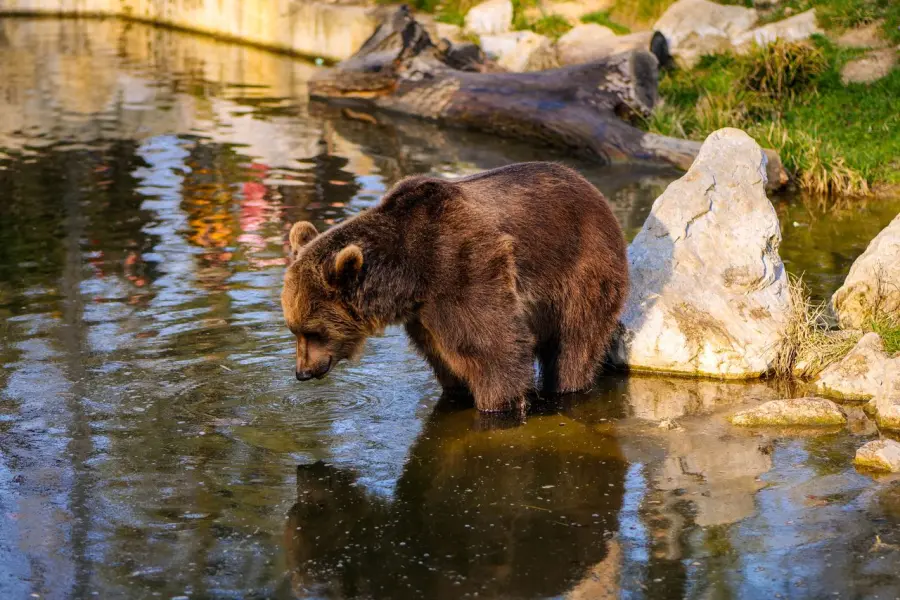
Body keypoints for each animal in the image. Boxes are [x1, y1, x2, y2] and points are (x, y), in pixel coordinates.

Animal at [281, 162, 628, 412]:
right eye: (294, 330)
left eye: (313, 331)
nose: (302, 372)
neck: (409, 275)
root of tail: (590, 186)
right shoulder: (423, 312)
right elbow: (445, 355)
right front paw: (457, 391)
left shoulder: (461, 266)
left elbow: (492, 347)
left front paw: (500, 402)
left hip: (580, 267)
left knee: (575, 340)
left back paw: (568, 383)